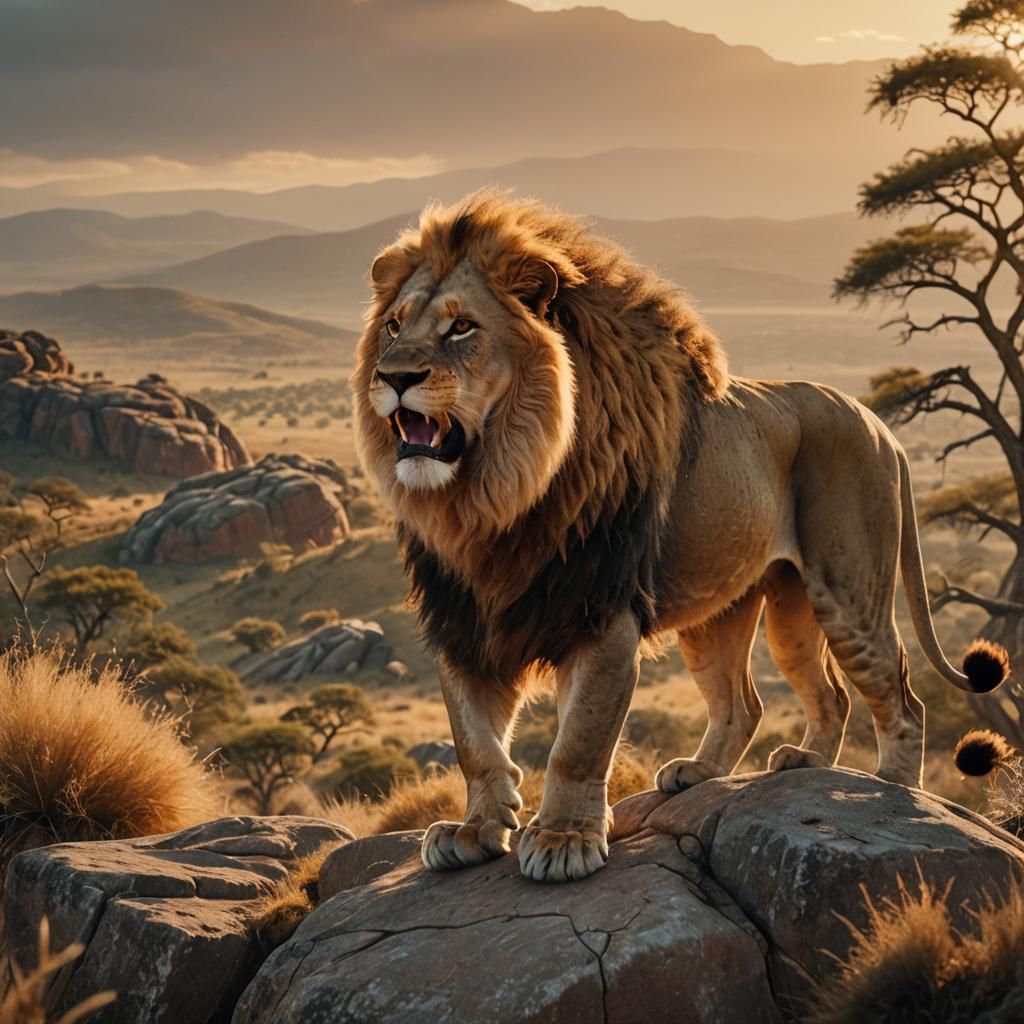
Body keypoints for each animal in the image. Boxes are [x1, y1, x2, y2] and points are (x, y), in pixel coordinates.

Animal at [352, 191, 1010, 883]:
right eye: (394, 326)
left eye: (462, 328)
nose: (393, 377)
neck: (493, 499)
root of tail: (879, 422)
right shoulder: (462, 618)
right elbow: (475, 742)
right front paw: (474, 831)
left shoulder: (601, 611)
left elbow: (579, 741)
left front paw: (563, 840)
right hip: (756, 609)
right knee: (779, 700)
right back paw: (753, 767)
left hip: (848, 592)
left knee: (901, 699)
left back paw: (892, 789)